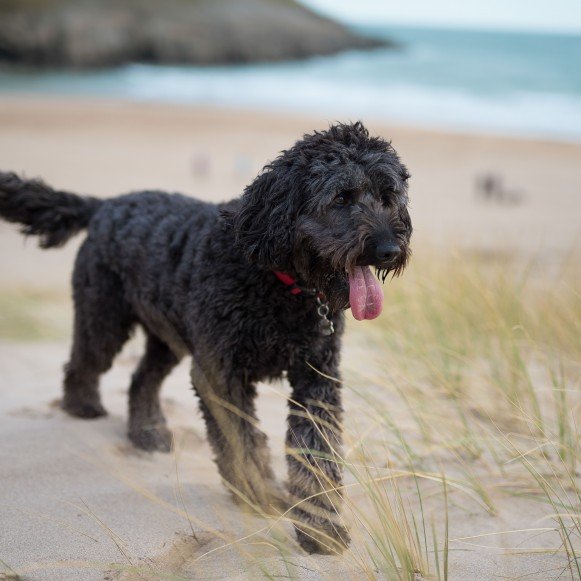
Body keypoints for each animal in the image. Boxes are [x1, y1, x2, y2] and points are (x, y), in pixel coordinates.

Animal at [0, 123, 410, 552]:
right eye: (342, 197)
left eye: (388, 196)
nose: (389, 249)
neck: (276, 279)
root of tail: (107, 204)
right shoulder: (220, 373)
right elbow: (242, 442)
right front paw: (258, 493)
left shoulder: (317, 380)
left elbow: (316, 454)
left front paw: (321, 527)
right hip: (104, 319)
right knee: (83, 362)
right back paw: (82, 405)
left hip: (168, 337)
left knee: (141, 379)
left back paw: (146, 433)